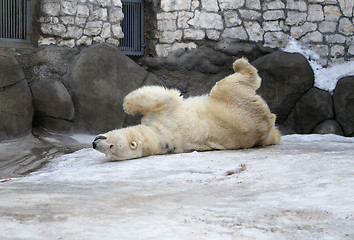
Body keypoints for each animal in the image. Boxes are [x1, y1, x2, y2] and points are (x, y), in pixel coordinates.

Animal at [92, 57, 280, 160]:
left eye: (111, 147)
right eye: (109, 154)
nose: (94, 143)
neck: (157, 137)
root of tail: (266, 121)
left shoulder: (167, 116)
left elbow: (165, 97)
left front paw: (128, 104)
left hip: (232, 101)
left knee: (229, 83)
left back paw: (239, 64)